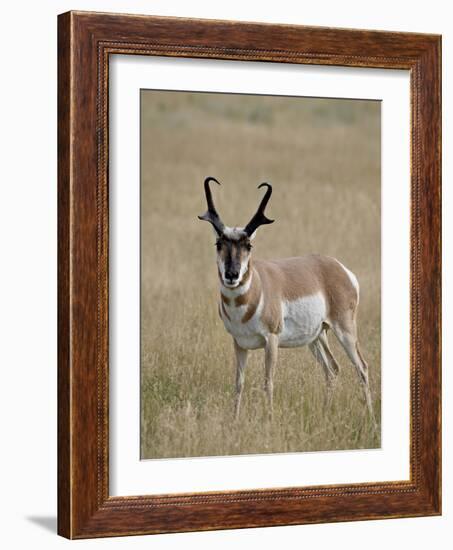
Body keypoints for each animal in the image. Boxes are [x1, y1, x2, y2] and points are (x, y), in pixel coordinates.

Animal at [198, 179, 374, 424]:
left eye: (248, 246)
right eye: (218, 243)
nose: (232, 275)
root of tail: (339, 268)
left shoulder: (271, 340)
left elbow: (268, 382)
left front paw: (269, 421)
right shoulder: (239, 343)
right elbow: (238, 383)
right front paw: (234, 420)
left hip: (345, 331)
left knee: (362, 367)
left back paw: (371, 420)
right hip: (317, 337)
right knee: (332, 369)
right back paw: (325, 413)